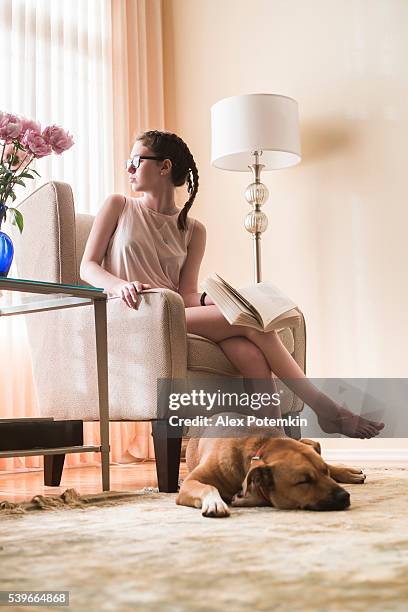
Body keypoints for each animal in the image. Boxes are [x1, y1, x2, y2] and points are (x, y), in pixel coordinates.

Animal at [176, 436, 366, 516]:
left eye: (325, 471)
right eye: (304, 481)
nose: (345, 496)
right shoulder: (190, 482)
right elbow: (208, 486)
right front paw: (215, 502)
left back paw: (349, 472)